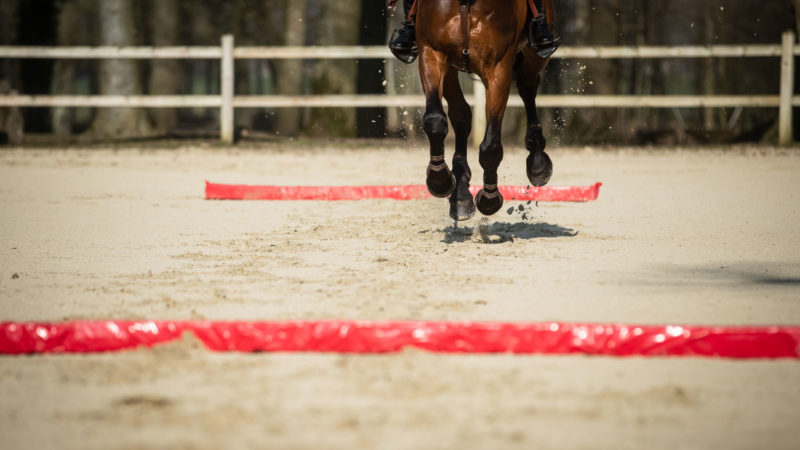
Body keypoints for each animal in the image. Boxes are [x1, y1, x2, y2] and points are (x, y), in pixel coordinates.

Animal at [412, 0, 556, 220]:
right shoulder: (431, 53)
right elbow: (435, 120)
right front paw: (440, 179)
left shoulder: (498, 67)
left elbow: (491, 145)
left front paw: (490, 198)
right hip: (450, 67)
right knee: (461, 114)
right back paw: (461, 192)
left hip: (535, 53)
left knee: (527, 86)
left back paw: (537, 161)